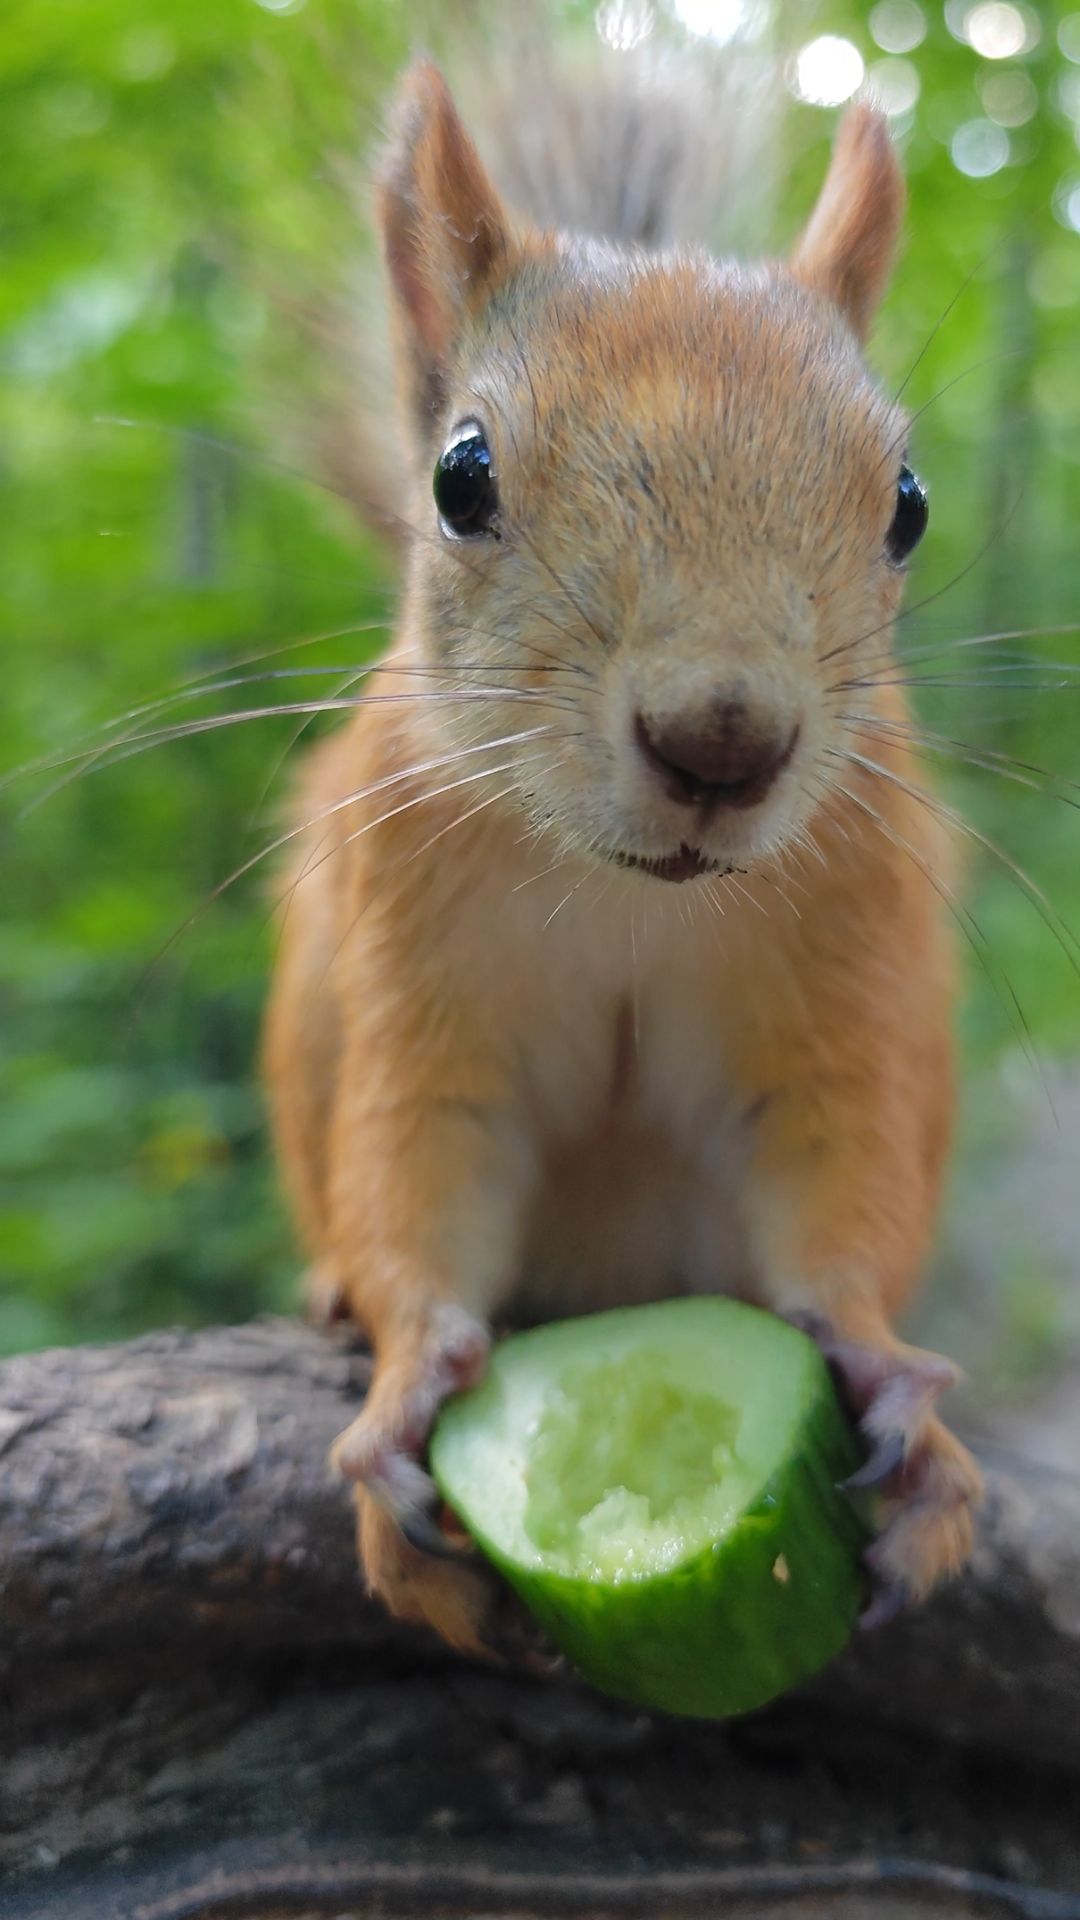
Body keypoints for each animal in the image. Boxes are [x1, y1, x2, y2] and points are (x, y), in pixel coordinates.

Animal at [263, 30, 982, 1656]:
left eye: (909, 503)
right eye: (461, 477)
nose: (722, 739)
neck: (630, 900)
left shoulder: (842, 963)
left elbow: (833, 1174)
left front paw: (893, 1387)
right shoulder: (416, 971)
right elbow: (420, 1163)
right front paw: (404, 1389)